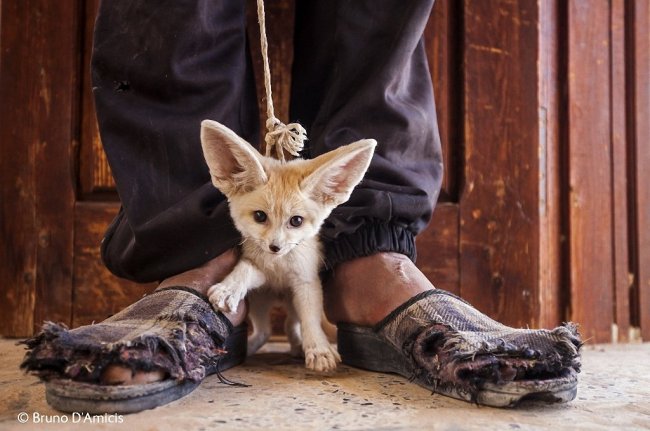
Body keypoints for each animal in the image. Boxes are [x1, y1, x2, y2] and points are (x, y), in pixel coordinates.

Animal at [201, 120, 374, 372]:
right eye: (260, 216)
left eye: (296, 221)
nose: (275, 247)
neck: (279, 268)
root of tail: (279, 297)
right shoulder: (260, 271)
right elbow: (246, 268)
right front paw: (229, 288)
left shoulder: (306, 282)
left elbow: (311, 321)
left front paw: (319, 349)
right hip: (259, 302)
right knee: (266, 331)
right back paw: (250, 348)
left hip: (292, 303)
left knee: (291, 326)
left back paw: (298, 347)